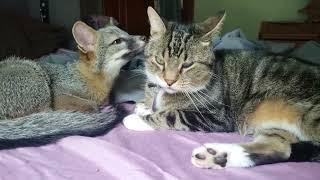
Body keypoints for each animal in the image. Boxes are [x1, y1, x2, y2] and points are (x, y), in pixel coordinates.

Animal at [0, 20, 145, 149]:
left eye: (128, 33)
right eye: (118, 41)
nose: (144, 36)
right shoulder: (59, 96)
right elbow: (92, 105)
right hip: (39, 81)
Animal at [123, 6, 320, 168]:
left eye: (187, 65)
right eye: (160, 60)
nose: (169, 81)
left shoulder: (216, 116)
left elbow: (172, 115)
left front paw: (137, 118)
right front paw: (144, 105)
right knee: (280, 148)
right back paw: (215, 156)